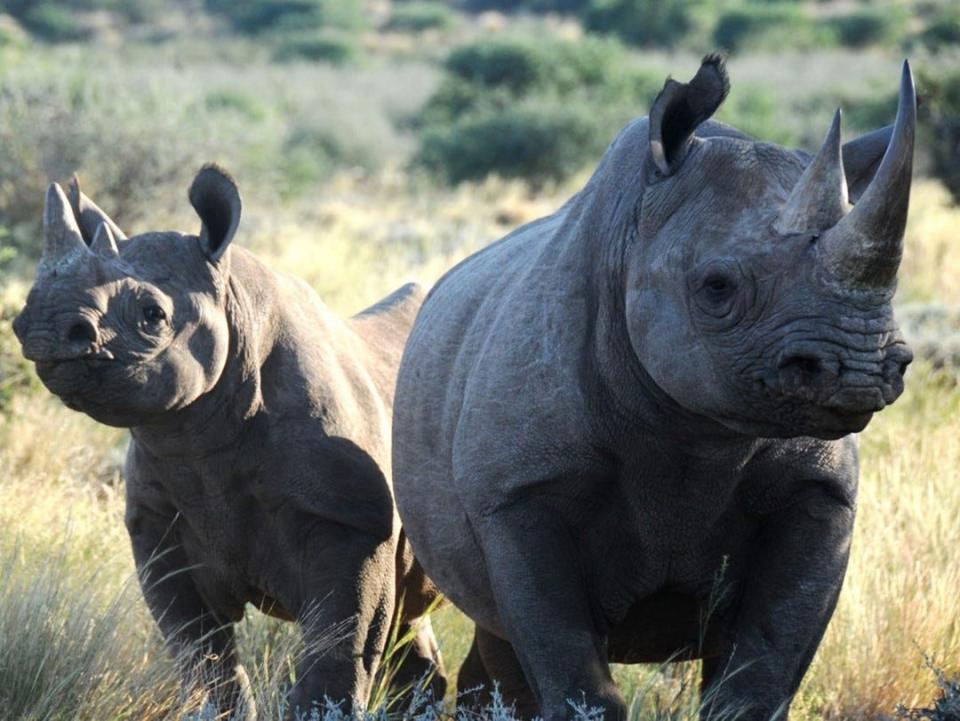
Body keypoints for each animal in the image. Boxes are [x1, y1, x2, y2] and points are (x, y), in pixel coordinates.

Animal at [15, 167, 442, 720]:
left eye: (152, 315)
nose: (44, 326)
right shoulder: (159, 525)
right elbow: (202, 656)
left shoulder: (352, 523)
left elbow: (340, 651)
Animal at [394, 57, 920, 720]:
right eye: (717, 286)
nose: (857, 368)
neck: (696, 433)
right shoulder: (519, 493)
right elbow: (572, 676)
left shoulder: (820, 490)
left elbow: (761, 673)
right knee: (497, 629)